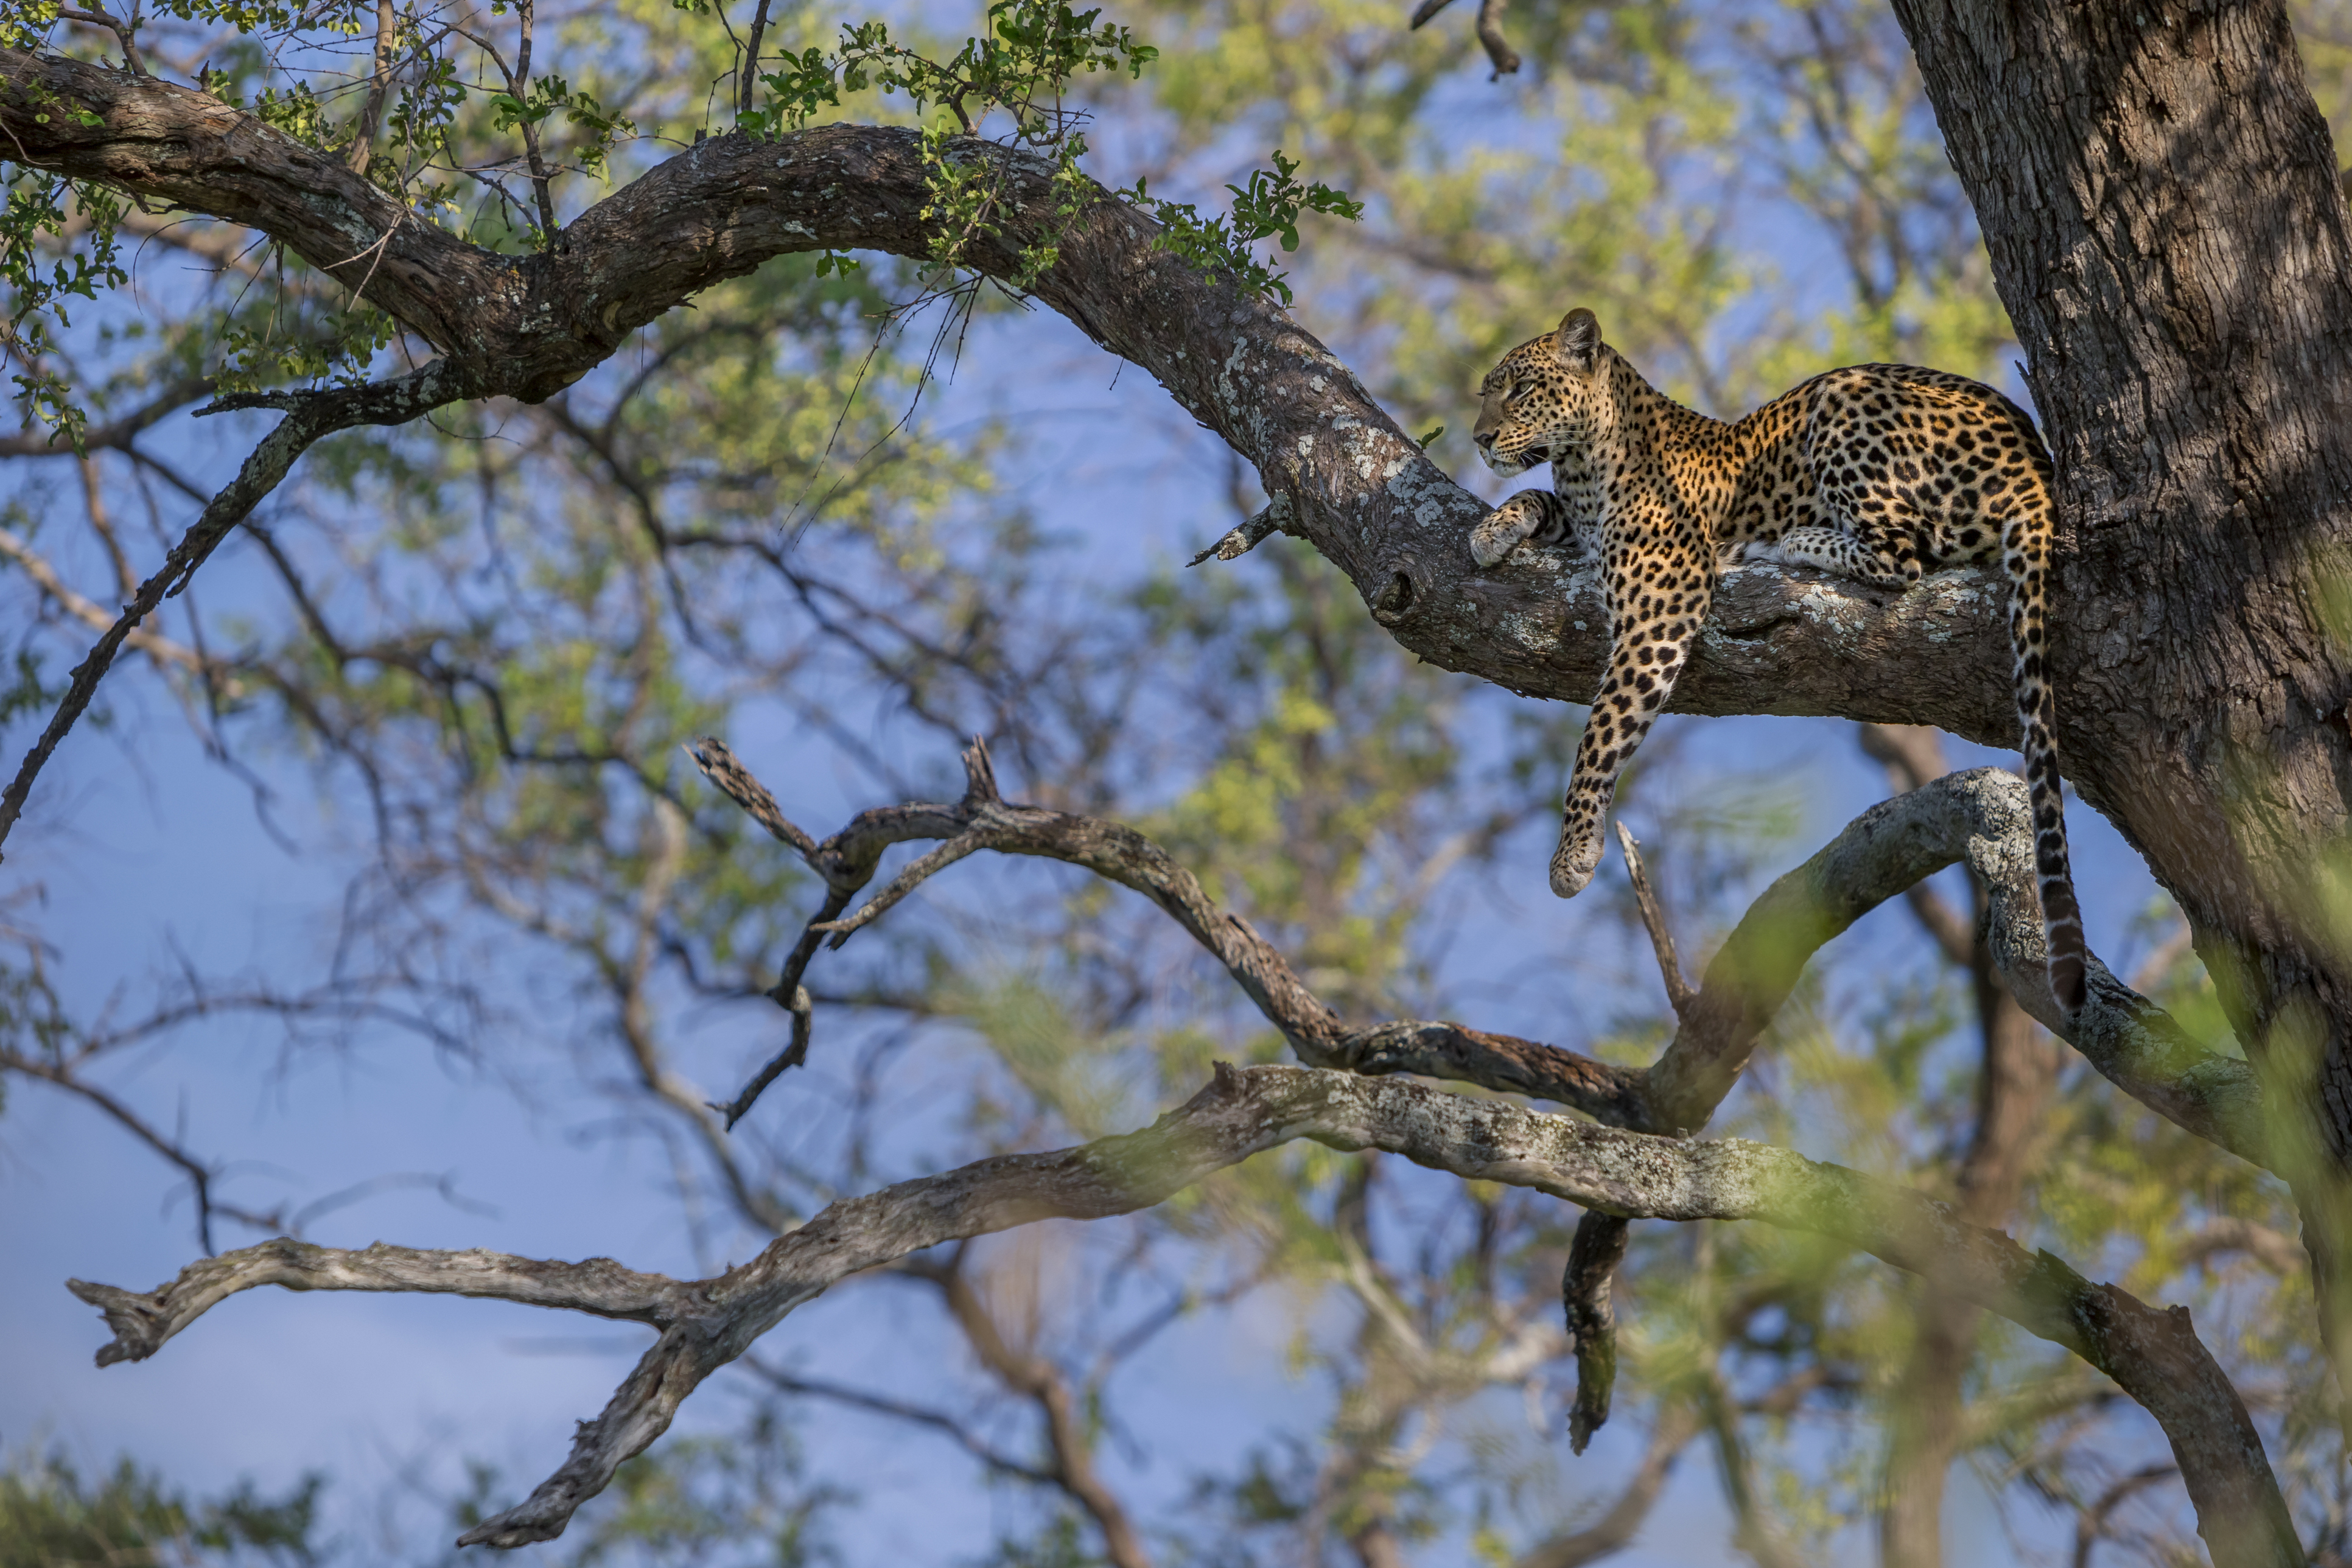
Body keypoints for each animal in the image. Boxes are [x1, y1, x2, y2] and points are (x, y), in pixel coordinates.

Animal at [1468, 307, 2086, 1014]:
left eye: (1520, 389)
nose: (1479, 439)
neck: (1582, 465)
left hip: (1845, 399)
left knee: (1903, 558)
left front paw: (1572, 853)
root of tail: (2034, 463)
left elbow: (1599, 734)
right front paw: (1491, 531)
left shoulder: (1661, 609)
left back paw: (1796, 540)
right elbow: (1536, 501)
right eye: (1489, 391)